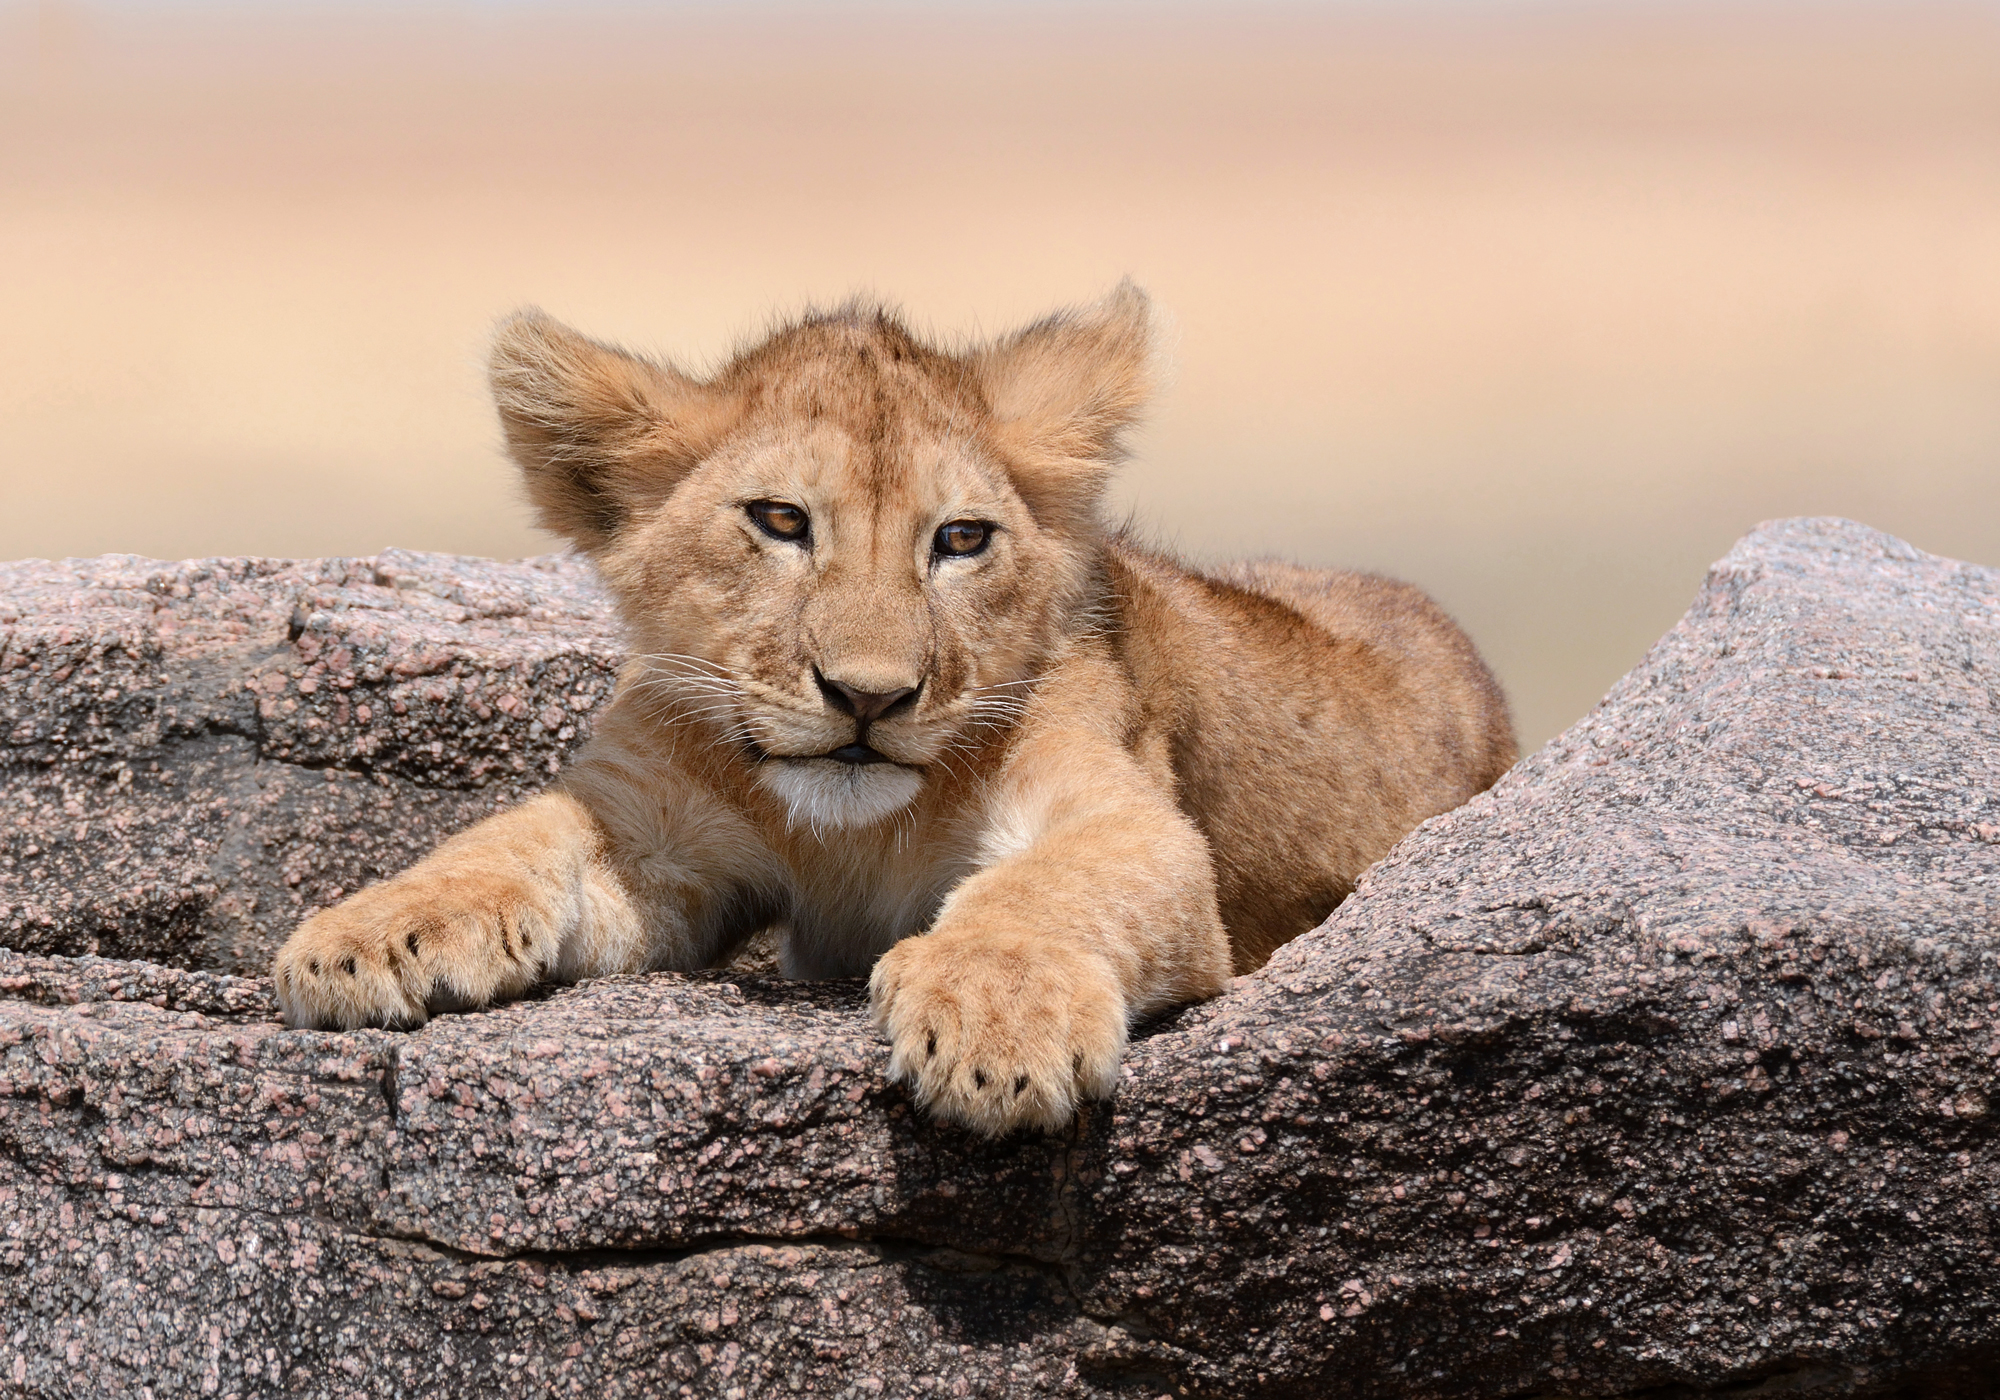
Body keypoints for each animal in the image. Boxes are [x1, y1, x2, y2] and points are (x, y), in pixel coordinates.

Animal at [272, 285, 1516, 1135]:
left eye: (959, 539)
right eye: (780, 520)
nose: (868, 696)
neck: (845, 832)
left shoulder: (1127, 815)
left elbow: (1041, 888)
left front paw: (994, 1021)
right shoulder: (649, 827)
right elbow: (503, 837)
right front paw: (364, 935)